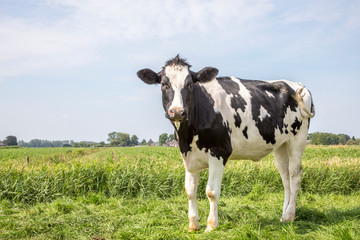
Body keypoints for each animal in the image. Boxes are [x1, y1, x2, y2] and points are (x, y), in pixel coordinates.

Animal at [138, 54, 316, 232]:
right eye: (163, 84)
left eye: (189, 84)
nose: (177, 111)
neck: (187, 135)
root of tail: (298, 86)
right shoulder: (188, 156)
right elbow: (190, 190)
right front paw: (193, 225)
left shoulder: (219, 151)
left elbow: (211, 191)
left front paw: (211, 225)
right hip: (280, 145)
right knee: (285, 177)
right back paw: (284, 216)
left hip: (297, 139)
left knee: (295, 176)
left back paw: (290, 215)